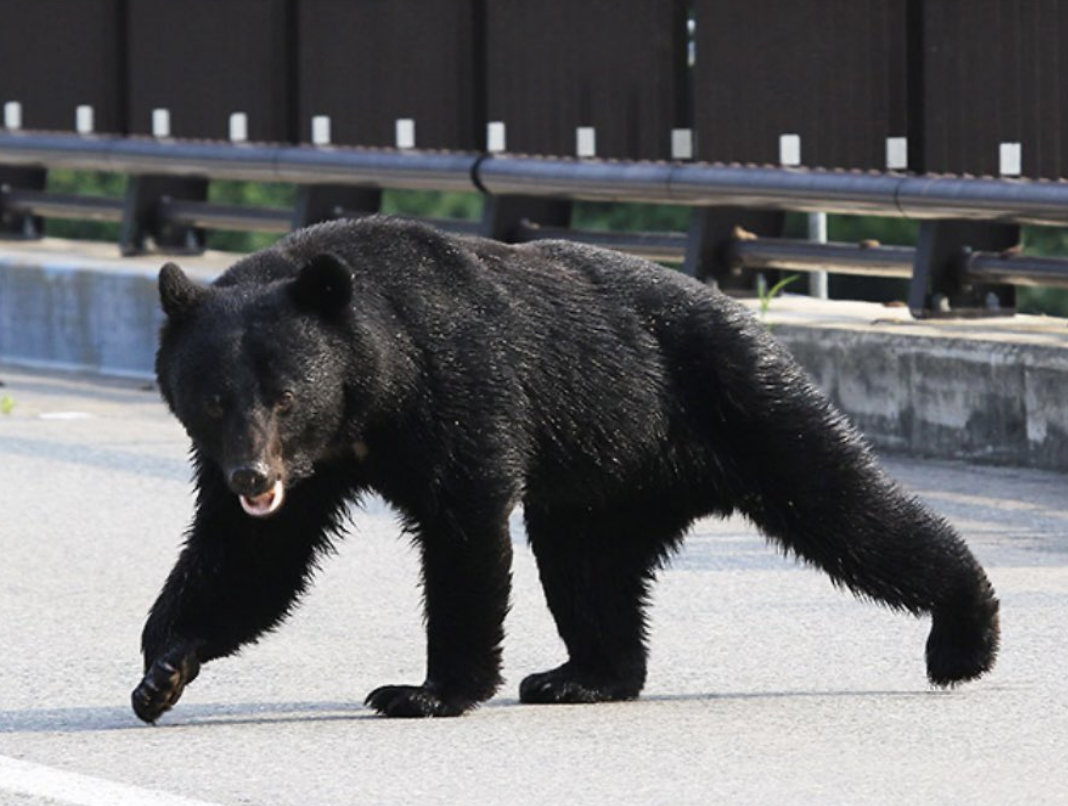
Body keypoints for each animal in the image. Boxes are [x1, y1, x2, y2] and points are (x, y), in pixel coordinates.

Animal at [132, 215, 999, 722]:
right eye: (213, 399)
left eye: (284, 397)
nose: (251, 477)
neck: (369, 396)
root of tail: (740, 318)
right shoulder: (313, 467)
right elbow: (251, 557)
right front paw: (160, 672)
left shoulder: (455, 384)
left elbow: (465, 528)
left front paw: (424, 691)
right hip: (606, 483)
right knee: (589, 571)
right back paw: (581, 675)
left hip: (744, 402)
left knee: (844, 509)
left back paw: (964, 637)